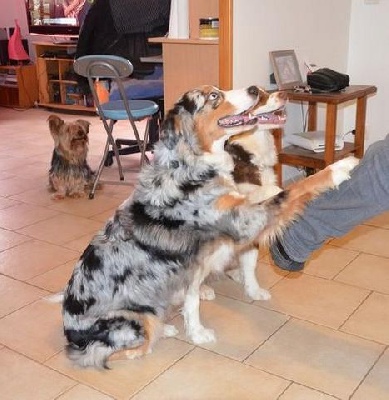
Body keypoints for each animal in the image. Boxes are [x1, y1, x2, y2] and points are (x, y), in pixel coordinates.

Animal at [59, 84, 356, 368]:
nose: (253, 89)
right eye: (214, 96)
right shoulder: (242, 220)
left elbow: (201, 293)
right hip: (128, 319)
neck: (191, 165)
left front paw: (197, 329)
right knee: (113, 352)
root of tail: (70, 333)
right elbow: (293, 191)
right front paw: (339, 167)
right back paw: (159, 330)